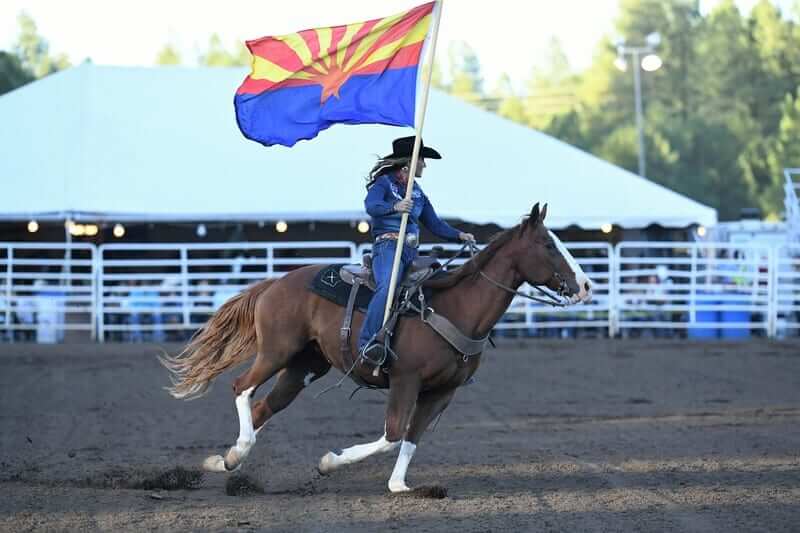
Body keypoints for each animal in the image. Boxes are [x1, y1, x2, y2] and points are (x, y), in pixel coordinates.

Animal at [161, 203, 592, 490]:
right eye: (548, 244)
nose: (586, 286)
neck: (456, 307)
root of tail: (275, 282)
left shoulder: (442, 391)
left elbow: (412, 437)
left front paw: (399, 486)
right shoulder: (405, 380)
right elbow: (393, 435)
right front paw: (329, 462)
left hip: (305, 367)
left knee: (265, 406)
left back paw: (227, 460)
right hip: (277, 352)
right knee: (242, 388)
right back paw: (237, 451)